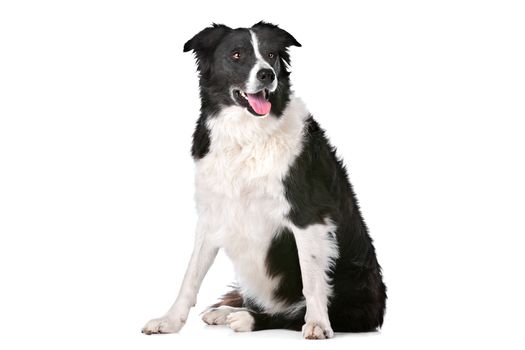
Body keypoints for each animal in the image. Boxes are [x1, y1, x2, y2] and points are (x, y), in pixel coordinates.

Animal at [142, 21, 384, 340]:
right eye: (236, 54)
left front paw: (318, 323)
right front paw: (170, 321)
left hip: (355, 284)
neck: (247, 134)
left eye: (271, 55)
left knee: (294, 313)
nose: (267, 74)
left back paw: (248, 318)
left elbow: (311, 280)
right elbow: (190, 276)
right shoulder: (212, 213)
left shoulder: (308, 216)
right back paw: (226, 311)